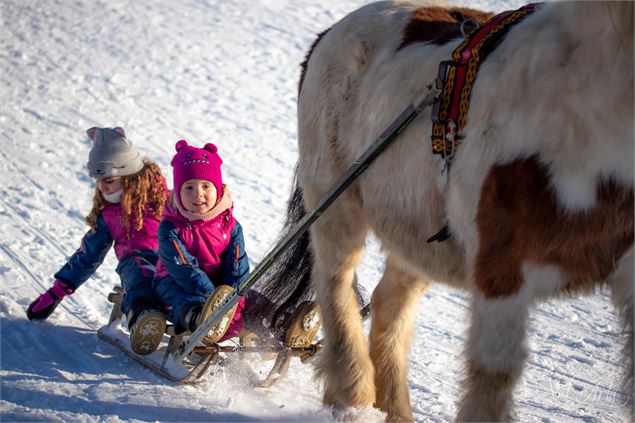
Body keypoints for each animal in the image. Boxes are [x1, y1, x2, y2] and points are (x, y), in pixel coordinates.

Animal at [256, 1, 632, 422]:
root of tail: (330, 33)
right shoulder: (502, 266)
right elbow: (494, 372)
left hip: (419, 236)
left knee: (390, 304)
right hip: (336, 202)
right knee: (335, 283)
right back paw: (352, 394)